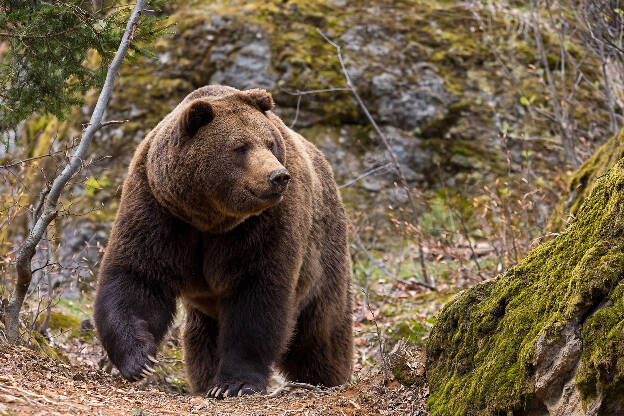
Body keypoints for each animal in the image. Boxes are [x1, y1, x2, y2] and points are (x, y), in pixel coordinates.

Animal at [94, 83, 354, 396]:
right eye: (240, 147)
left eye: (269, 143)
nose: (278, 176)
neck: (210, 217)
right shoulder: (159, 208)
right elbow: (138, 277)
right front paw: (140, 360)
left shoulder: (264, 225)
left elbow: (257, 294)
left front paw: (235, 383)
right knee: (200, 339)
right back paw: (205, 379)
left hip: (324, 256)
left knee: (321, 332)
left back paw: (326, 378)